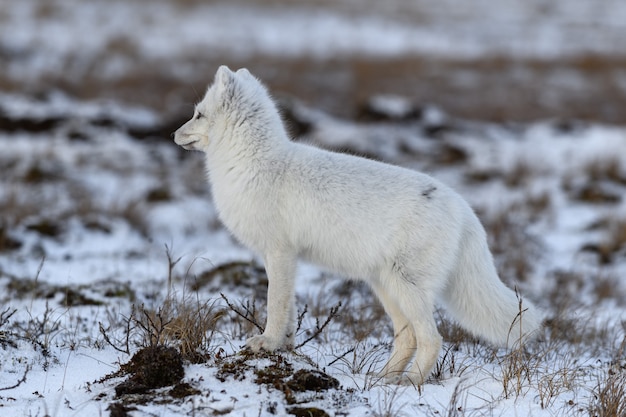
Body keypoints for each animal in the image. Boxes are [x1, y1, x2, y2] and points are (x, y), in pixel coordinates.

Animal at [173, 66, 540, 384]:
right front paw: (286, 346)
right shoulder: (280, 257)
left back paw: (408, 383)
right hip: (385, 286)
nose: (174, 135)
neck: (256, 163)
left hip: (407, 287)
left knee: (431, 339)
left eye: (198, 114)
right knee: (408, 337)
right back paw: (381, 380)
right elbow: (288, 309)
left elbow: (275, 304)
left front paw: (267, 342)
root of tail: (464, 209)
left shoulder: (279, 252)